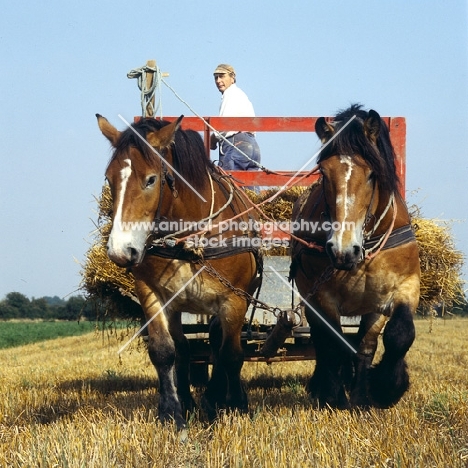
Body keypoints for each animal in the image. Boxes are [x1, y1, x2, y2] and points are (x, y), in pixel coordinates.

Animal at [96, 114, 262, 428]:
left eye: (151, 179)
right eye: (110, 179)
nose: (120, 251)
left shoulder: (234, 300)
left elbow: (230, 354)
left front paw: (230, 404)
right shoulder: (152, 294)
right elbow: (164, 351)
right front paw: (171, 410)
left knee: (220, 345)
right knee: (186, 349)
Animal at [292, 106, 420, 410]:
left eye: (372, 173)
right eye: (324, 173)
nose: (342, 250)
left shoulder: (404, 287)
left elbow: (394, 336)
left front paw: (381, 389)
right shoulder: (323, 297)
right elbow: (334, 344)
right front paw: (334, 395)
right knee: (321, 341)